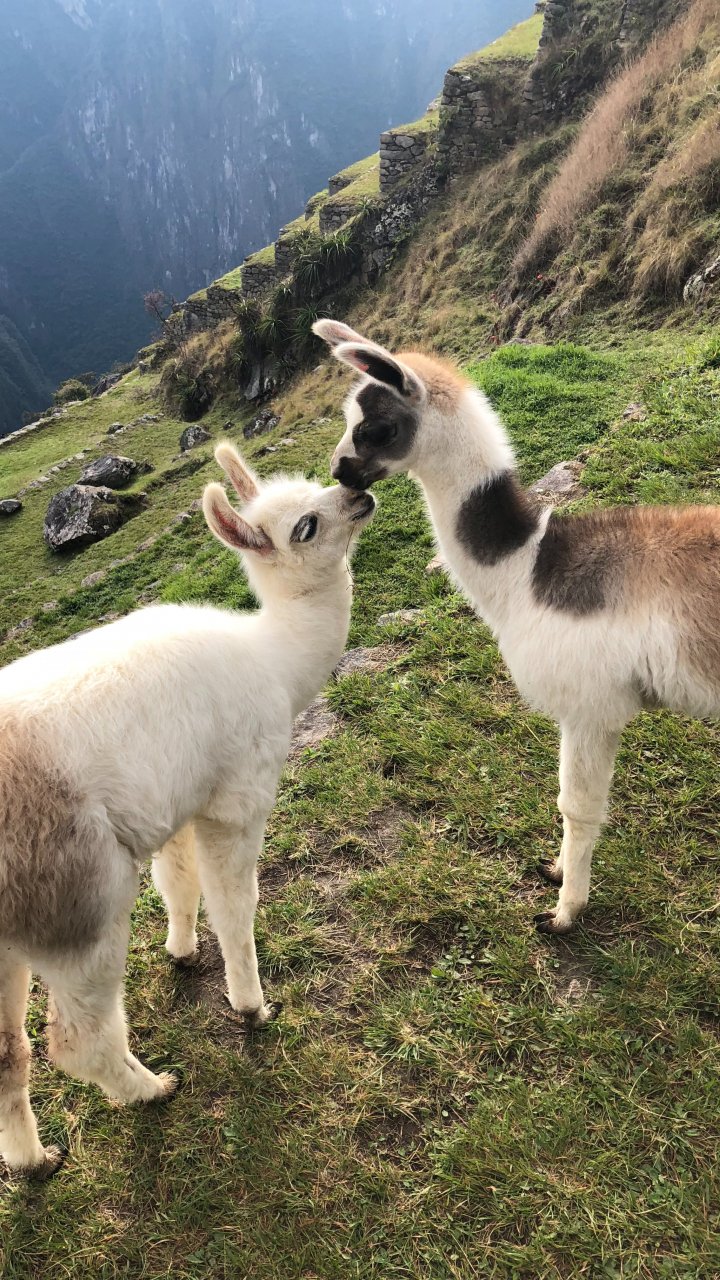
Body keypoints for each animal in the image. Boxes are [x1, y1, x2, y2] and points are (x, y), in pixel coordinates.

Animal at [0, 443, 375, 1177]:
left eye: (321, 482)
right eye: (306, 526)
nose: (360, 490)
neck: (274, 659)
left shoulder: (175, 801)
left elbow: (178, 883)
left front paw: (180, 951)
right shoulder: (236, 797)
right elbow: (235, 906)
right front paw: (252, 1007)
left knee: (8, 1054)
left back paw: (33, 1162)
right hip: (75, 898)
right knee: (76, 1040)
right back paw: (151, 1090)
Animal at [315, 317, 720, 937]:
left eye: (376, 428)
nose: (341, 473)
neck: (524, 568)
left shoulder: (591, 706)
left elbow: (576, 807)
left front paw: (564, 909)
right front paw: (557, 873)